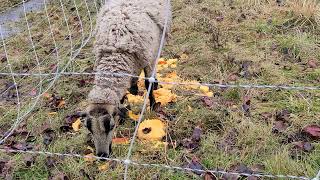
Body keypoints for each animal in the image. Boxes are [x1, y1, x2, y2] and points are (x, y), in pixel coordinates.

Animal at [80, 0, 172, 158]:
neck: (115, 51)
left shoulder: (146, 59)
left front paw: (153, 105)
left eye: (111, 126)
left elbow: (147, 84)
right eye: (89, 128)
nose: (102, 156)